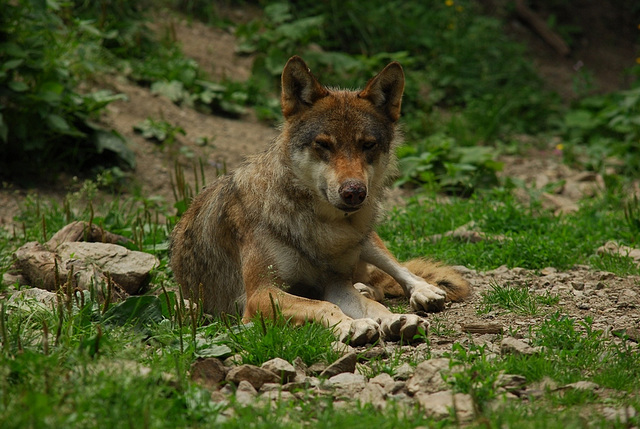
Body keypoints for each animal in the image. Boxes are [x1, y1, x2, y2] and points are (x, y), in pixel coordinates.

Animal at [170, 56, 470, 344]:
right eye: (323, 144)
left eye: (368, 145)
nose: (354, 191)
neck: (321, 226)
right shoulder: (260, 294)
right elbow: (321, 305)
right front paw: (354, 325)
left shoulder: (335, 284)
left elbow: (372, 306)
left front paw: (395, 319)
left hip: (366, 238)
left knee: (398, 271)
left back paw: (423, 291)